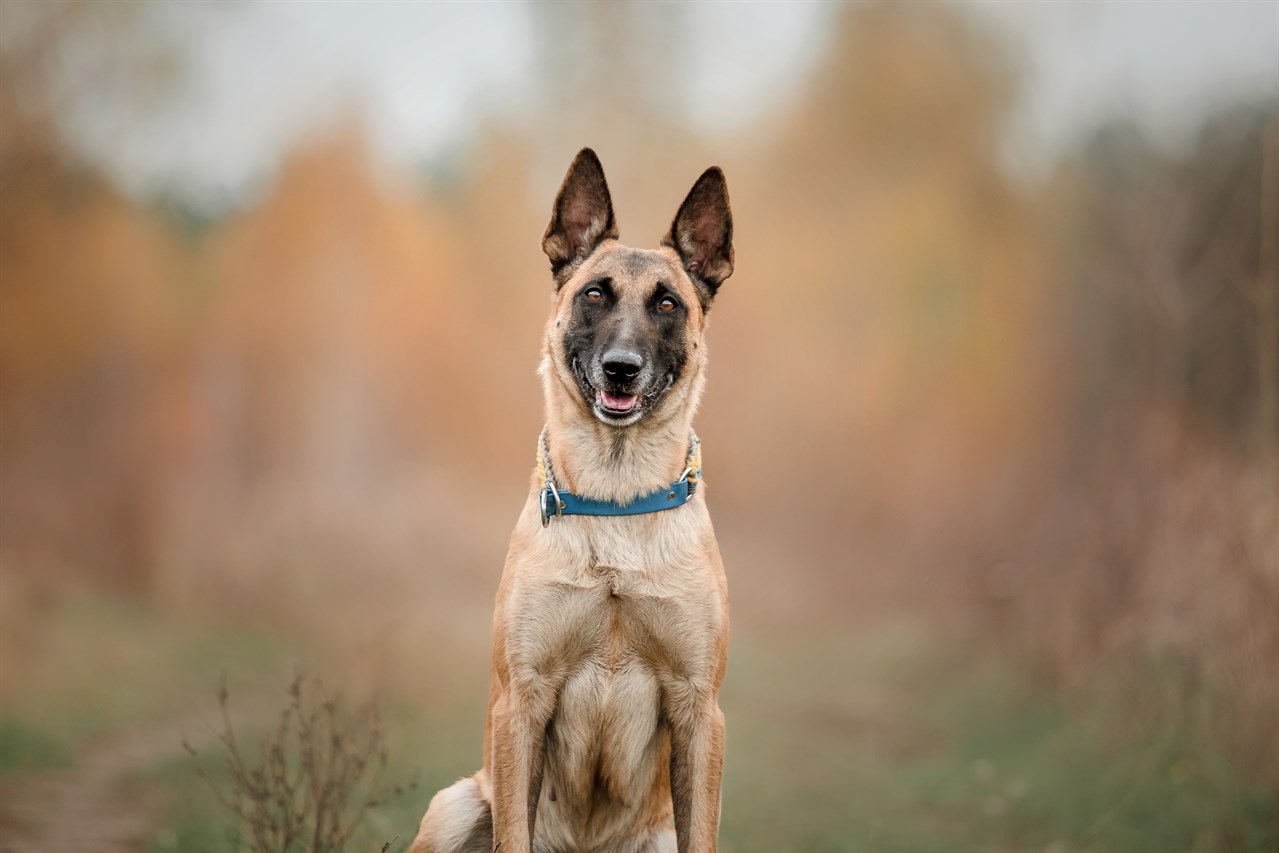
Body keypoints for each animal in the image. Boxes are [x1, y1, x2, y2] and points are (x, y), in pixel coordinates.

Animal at [414, 150, 736, 853]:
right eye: (594, 294)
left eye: (667, 303)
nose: (621, 367)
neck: (615, 501)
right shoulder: (523, 704)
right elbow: (514, 831)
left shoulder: (699, 712)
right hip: (456, 806)